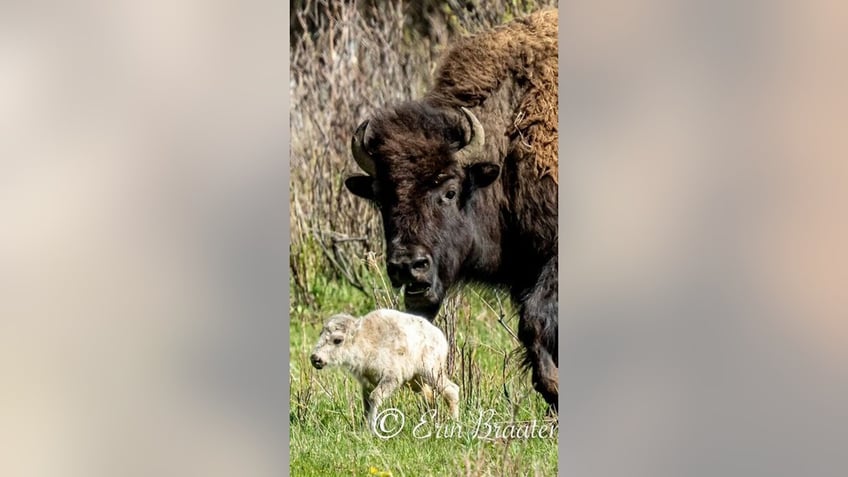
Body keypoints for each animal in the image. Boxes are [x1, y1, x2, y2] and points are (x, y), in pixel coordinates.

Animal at [310, 308, 460, 432]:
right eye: (320, 334)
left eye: (338, 340)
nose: (315, 358)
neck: (364, 340)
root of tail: (440, 337)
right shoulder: (367, 383)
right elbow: (366, 404)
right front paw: (363, 428)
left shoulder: (391, 378)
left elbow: (375, 397)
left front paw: (371, 429)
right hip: (416, 381)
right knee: (429, 396)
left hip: (431, 372)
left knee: (451, 390)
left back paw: (453, 422)